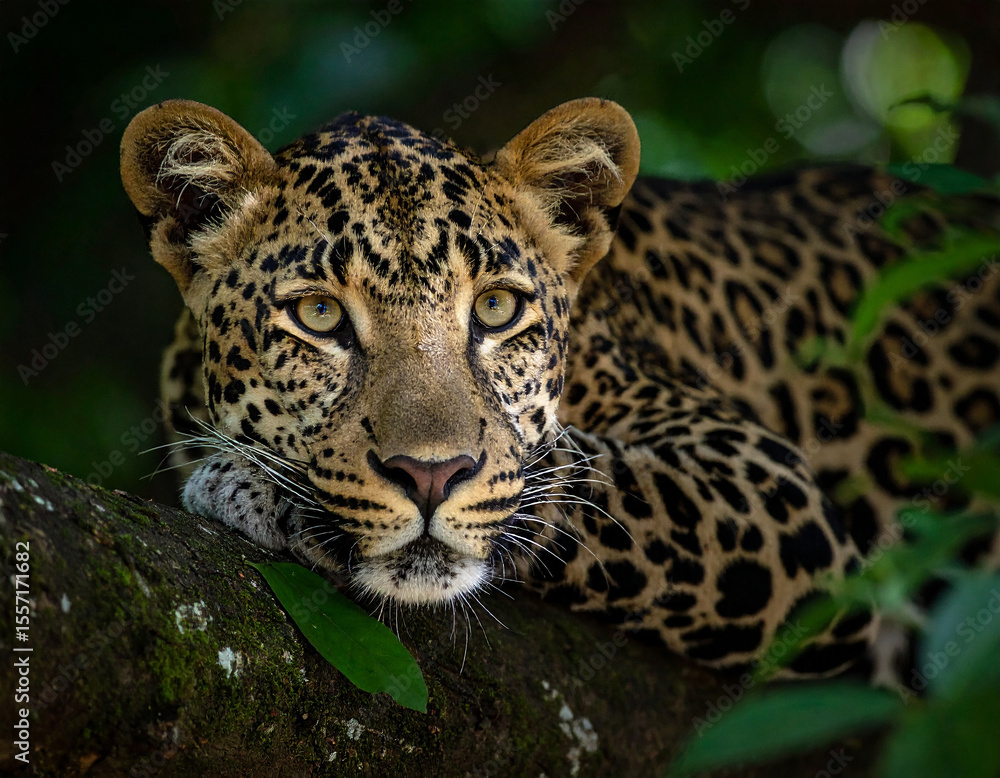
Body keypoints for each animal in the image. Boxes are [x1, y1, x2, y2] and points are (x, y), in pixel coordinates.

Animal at [120, 97, 1000, 679]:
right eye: (319, 315)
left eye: (497, 308)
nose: (430, 477)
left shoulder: (774, 491)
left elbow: (565, 475)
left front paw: (249, 484)